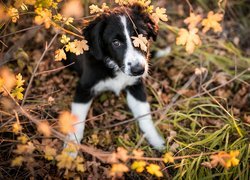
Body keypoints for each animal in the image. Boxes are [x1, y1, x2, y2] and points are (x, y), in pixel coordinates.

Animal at [65, 3, 165, 152]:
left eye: (142, 37)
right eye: (116, 43)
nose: (138, 70)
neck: (116, 67)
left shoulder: (136, 86)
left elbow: (144, 114)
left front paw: (156, 140)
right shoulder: (84, 88)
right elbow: (77, 120)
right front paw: (70, 150)